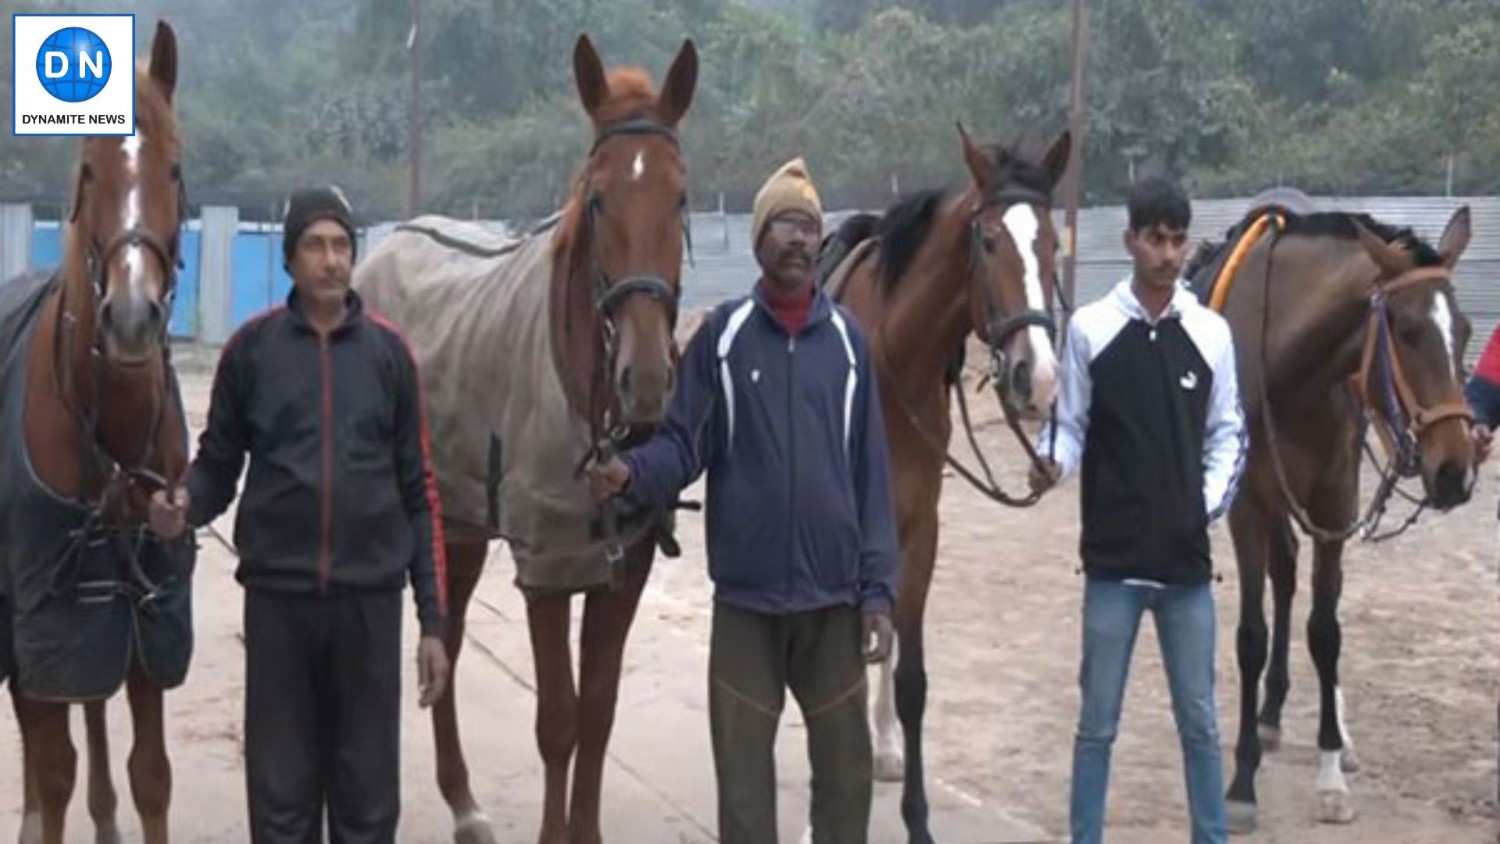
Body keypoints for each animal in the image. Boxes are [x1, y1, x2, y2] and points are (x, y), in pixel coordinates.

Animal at [355, 34, 696, 844]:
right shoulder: (546, 569)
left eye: (680, 197)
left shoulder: (623, 568)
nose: (645, 380)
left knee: (445, 634)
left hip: (461, 524)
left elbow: (598, 714)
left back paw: (462, 800)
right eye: (598, 199)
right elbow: (558, 722)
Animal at [816, 127, 1074, 844]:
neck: (890, 361)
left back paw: (881, 750)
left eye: (1051, 241)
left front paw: (917, 817)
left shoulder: (917, 528)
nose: (1038, 376)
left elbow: (910, 679)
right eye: (987, 241)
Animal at [1188, 196, 1482, 833]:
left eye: (1467, 330)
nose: (1456, 471)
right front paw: (1242, 781)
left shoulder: (1335, 499)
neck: (1288, 367)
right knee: (1281, 577)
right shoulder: (1248, 505)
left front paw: (1328, 773)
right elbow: (1251, 635)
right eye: (1407, 330)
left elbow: (1326, 631)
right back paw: (1269, 715)